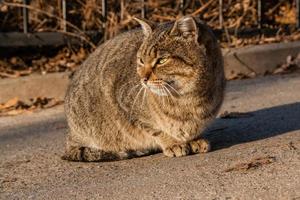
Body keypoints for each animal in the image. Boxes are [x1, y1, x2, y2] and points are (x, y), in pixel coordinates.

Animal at [61, 16, 225, 162]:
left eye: (162, 60)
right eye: (141, 60)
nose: (143, 79)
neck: (188, 98)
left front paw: (194, 140)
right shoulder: (125, 105)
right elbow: (157, 130)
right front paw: (173, 143)